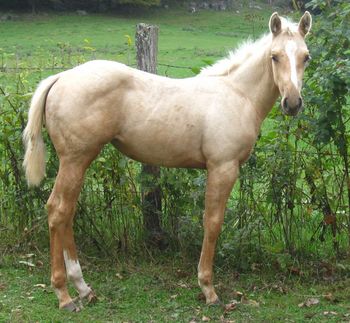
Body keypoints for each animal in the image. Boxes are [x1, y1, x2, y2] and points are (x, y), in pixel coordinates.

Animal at [22, 12, 312, 312]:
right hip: (75, 159)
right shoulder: (223, 168)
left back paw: (83, 288)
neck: (236, 94)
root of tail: (61, 77)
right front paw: (208, 288)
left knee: (66, 212)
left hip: (78, 162)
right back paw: (64, 295)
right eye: (275, 56)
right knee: (58, 210)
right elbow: (213, 223)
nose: (292, 103)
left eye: (306, 57)